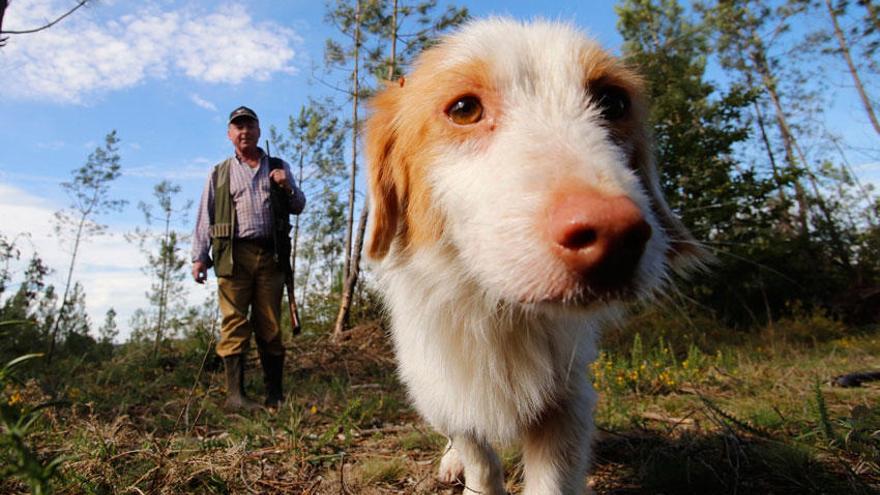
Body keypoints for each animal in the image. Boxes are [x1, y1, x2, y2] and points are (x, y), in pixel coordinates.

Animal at [364, 18, 700, 495]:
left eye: (613, 102)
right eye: (463, 109)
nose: (616, 235)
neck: (500, 316)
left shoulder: (568, 400)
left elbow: (552, 480)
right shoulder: (445, 389)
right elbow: (479, 457)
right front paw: (468, 473)